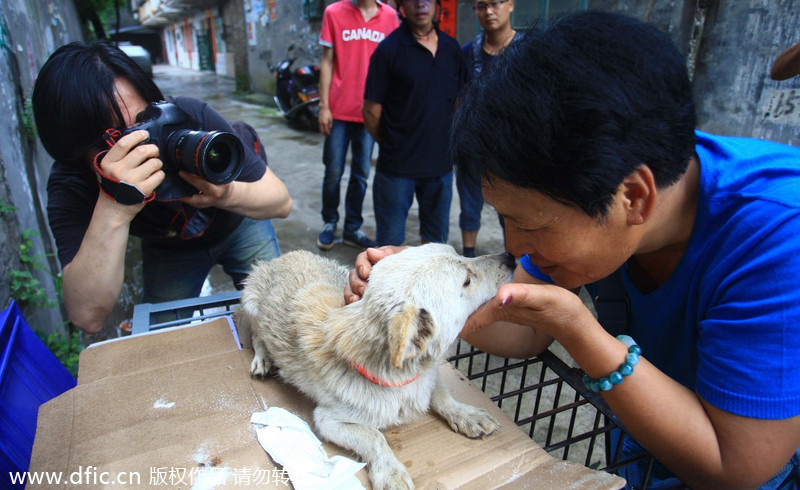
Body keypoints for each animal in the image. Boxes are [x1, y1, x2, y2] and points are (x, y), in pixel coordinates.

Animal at [239, 243, 512, 488]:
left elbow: (442, 394)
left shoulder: (428, 378)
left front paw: (467, 414)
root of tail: (284, 255)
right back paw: (262, 359)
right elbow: (374, 436)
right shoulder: (327, 420)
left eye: (460, 253)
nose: (509, 256)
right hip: (250, 302)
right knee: (255, 335)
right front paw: (390, 472)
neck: (403, 379)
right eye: (466, 280)